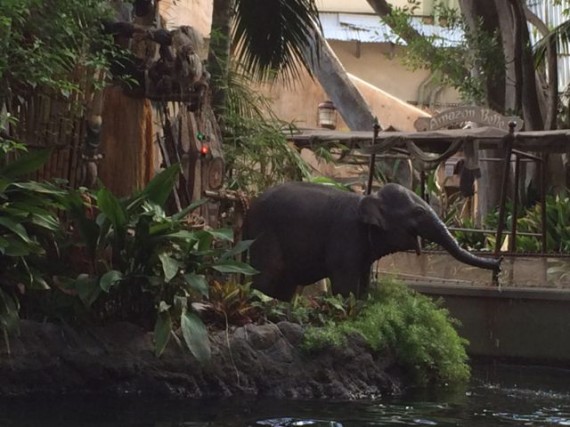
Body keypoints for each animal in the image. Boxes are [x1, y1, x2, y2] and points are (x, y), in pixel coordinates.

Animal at [242, 182, 500, 302]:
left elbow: (363, 278)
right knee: (265, 277)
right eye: (418, 212)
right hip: (264, 235)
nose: (498, 265)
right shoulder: (345, 235)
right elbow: (344, 282)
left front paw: (363, 303)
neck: (367, 197)